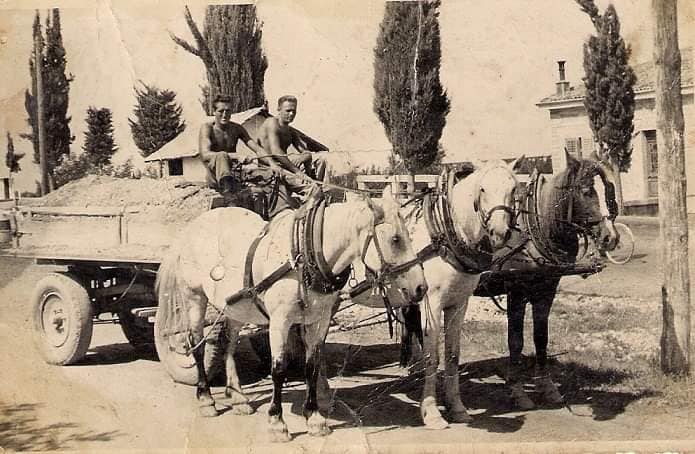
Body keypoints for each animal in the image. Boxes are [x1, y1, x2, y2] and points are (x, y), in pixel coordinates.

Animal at [155, 184, 426, 440]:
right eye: (395, 239)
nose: (420, 287)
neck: (305, 256)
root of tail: (194, 226)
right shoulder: (280, 322)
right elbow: (278, 369)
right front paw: (277, 422)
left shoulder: (318, 320)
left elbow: (312, 365)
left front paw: (314, 418)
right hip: (194, 298)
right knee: (196, 345)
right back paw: (206, 399)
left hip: (235, 305)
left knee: (229, 344)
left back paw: (238, 397)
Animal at [386, 159, 520, 430]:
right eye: (482, 189)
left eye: (514, 189)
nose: (499, 232)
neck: (447, 235)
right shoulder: (431, 302)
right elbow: (432, 357)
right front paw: (431, 412)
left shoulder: (459, 303)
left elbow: (452, 355)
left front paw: (456, 407)